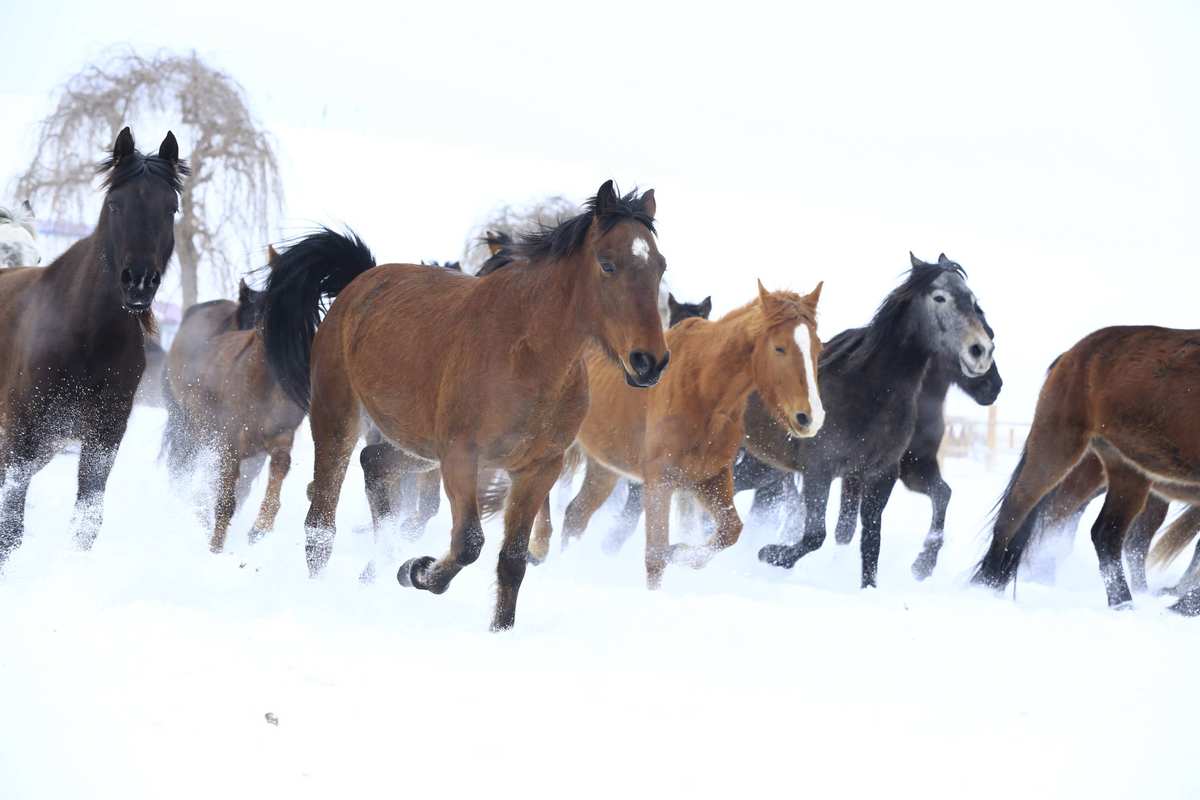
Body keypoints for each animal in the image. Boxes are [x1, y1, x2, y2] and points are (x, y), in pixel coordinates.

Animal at [0, 128, 186, 566]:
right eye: (115, 204)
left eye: (170, 208)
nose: (139, 281)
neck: (86, 336)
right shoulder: (21, 434)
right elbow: (10, 526)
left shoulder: (104, 435)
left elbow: (87, 519)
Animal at [163, 247, 304, 554]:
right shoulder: (228, 443)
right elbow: (224, 497)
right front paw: (214, 545)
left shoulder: (275, 441)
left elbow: (273, 472)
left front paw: (260, 528)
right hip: (188, 428)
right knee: (180, 468)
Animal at [259, 183, 672, 633]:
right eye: (608, 265)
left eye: (660, 267)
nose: (649, 362)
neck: (527, 356)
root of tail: (361, 280)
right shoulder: (461, 457)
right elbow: (469, 543)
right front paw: (416, 571)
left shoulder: (538, 468)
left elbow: (513, 560)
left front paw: (499, 629)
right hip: (337, 419)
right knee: (320, 521)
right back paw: (326, 587)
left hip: (419, 449)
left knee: (375, 465)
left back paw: (375, 571)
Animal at [542, 281, 816, 587]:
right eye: (780, 348)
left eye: (818, 346)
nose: (808, 418)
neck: (703, 392)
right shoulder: (659, 481)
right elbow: (655, 555)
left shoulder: (709, 478)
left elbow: (729, 530)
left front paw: (682, 553)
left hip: (604, 468)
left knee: (576, 514)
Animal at [974, 323, 1200, 614]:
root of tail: (1072, 354)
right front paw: (1181, 604)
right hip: (1058, 449)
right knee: (1018, 511)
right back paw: (987, 585)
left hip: (1128, 472)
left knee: (1107, 535)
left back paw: (1123, 604)